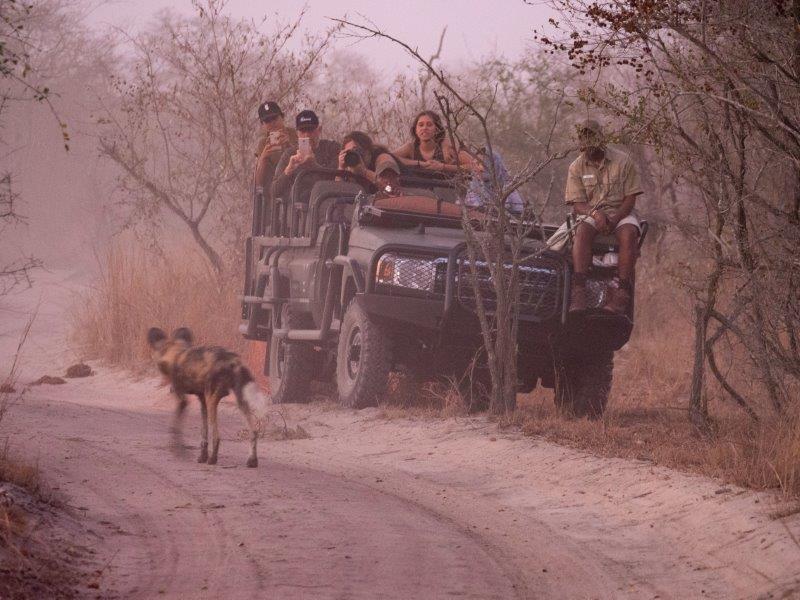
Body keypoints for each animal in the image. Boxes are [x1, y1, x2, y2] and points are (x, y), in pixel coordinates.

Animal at [145, 326, 268, 466]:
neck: (176, 354)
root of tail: (233, 360)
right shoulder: (202, 401)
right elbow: (203, 432)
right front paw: (202, 456)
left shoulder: (183, 400)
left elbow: (175, 427)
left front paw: (179, 451)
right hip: (239, 400)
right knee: (254, 431)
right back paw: (252, 460)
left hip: (212, 400)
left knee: (217, 436)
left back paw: (213, 459)